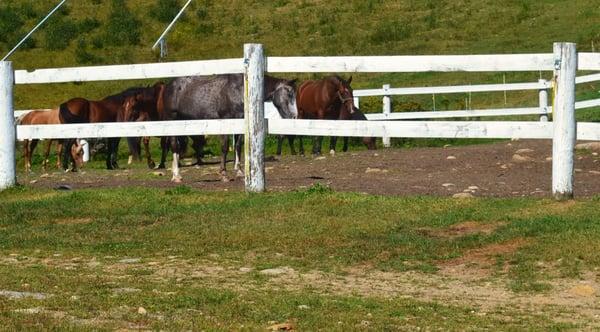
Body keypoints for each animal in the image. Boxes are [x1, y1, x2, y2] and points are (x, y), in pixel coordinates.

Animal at [163, 73, 298, 183]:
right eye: (290, 94)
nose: (294, 116)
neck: (240, 90)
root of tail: (169, 86)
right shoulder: (225, 123)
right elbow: (224, 147)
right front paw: (223, 174)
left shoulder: (239, 123)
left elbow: (238, 146)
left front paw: (239, 172)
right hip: (172, 120)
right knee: (174, 145)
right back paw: (176, 176)